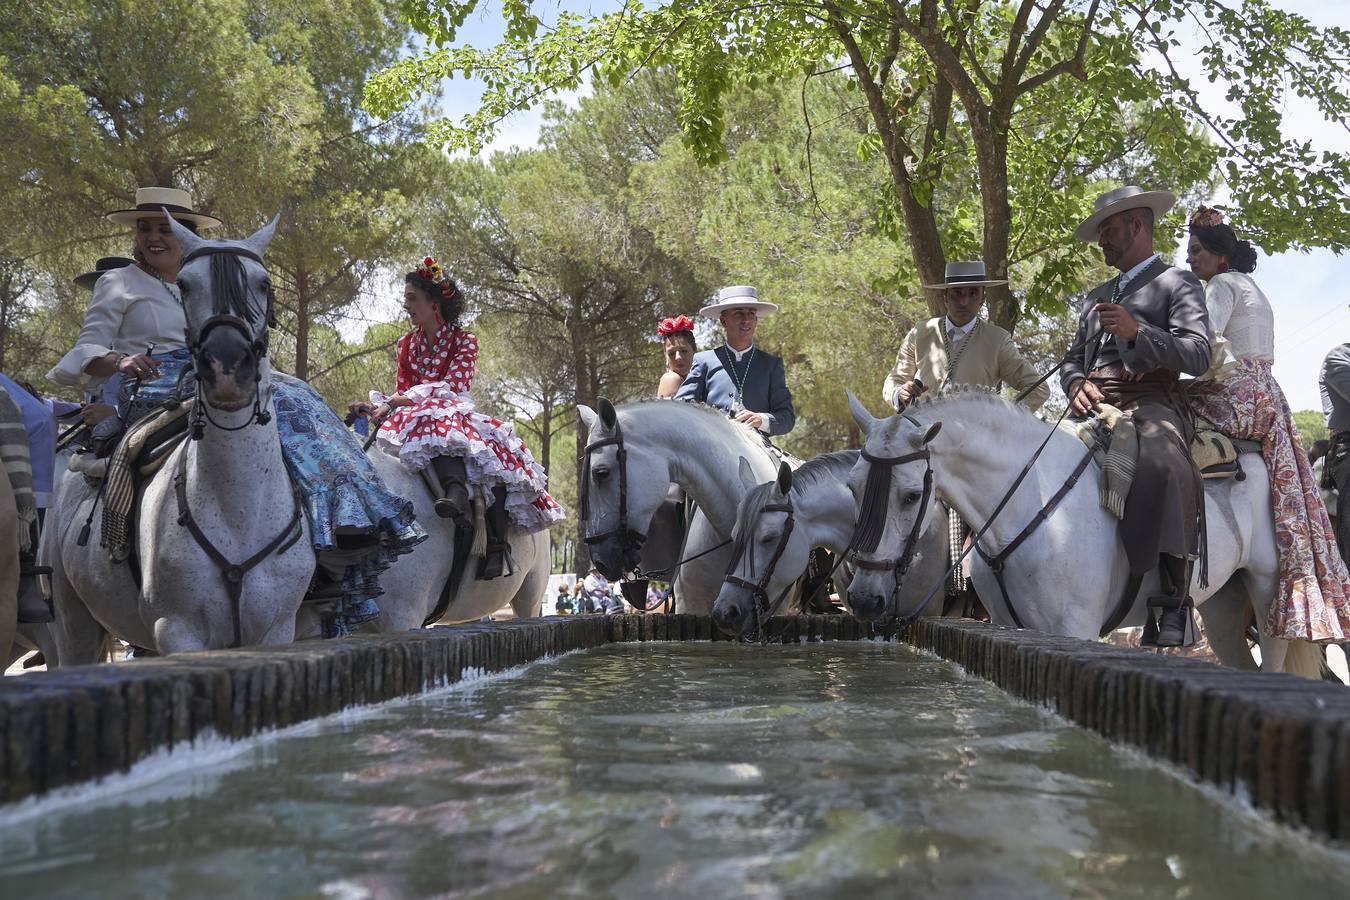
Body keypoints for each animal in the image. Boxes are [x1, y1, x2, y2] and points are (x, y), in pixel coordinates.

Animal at [47, 214, 315, 658]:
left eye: (263, 283)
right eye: (186, 285)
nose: (227, 368)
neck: (238, 511)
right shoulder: (177, 631)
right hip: (72, 624)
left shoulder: (276, 631)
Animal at [842, 391, 1317, 680]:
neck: (1031, 499)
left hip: (1268, 590)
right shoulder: (1006, 628)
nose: (864, 598)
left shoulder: (1077, 630)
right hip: (1221, 604)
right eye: (851, 487)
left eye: (910, 495)